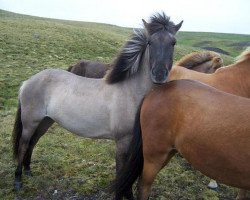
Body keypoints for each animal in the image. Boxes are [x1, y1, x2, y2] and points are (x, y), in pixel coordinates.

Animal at [12, 12, 183, 198]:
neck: (130, 91)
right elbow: (121, 171)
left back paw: (28, 170)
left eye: (173, 42)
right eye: (150, 42)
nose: (159, 74)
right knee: (23, 144)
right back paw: (18, 180)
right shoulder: (122, 142)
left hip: (45, 121)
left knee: (33, 141)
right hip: (30, 122)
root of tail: (28, 82)